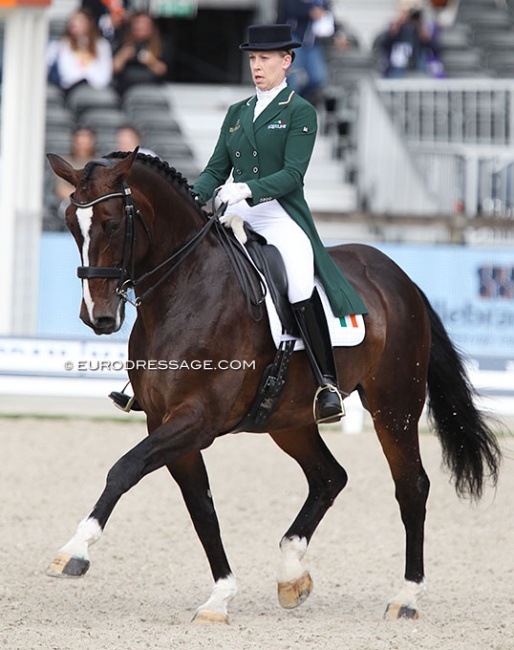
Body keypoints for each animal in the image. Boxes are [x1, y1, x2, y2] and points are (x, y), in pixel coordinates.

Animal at [46, 149, 498, 620]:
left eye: (113, 223)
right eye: (70, 223)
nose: (98, 317)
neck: (186, 289)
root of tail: (398, 277)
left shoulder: (196, 420)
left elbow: (124, 469)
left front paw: (74, 550)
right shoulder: (164, 423)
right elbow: (202, 509)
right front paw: (220, 596)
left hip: (395, 404)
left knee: (411, 485)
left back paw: (406, 596)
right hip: (290, 420)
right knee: (329, 477)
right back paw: (291, 574)